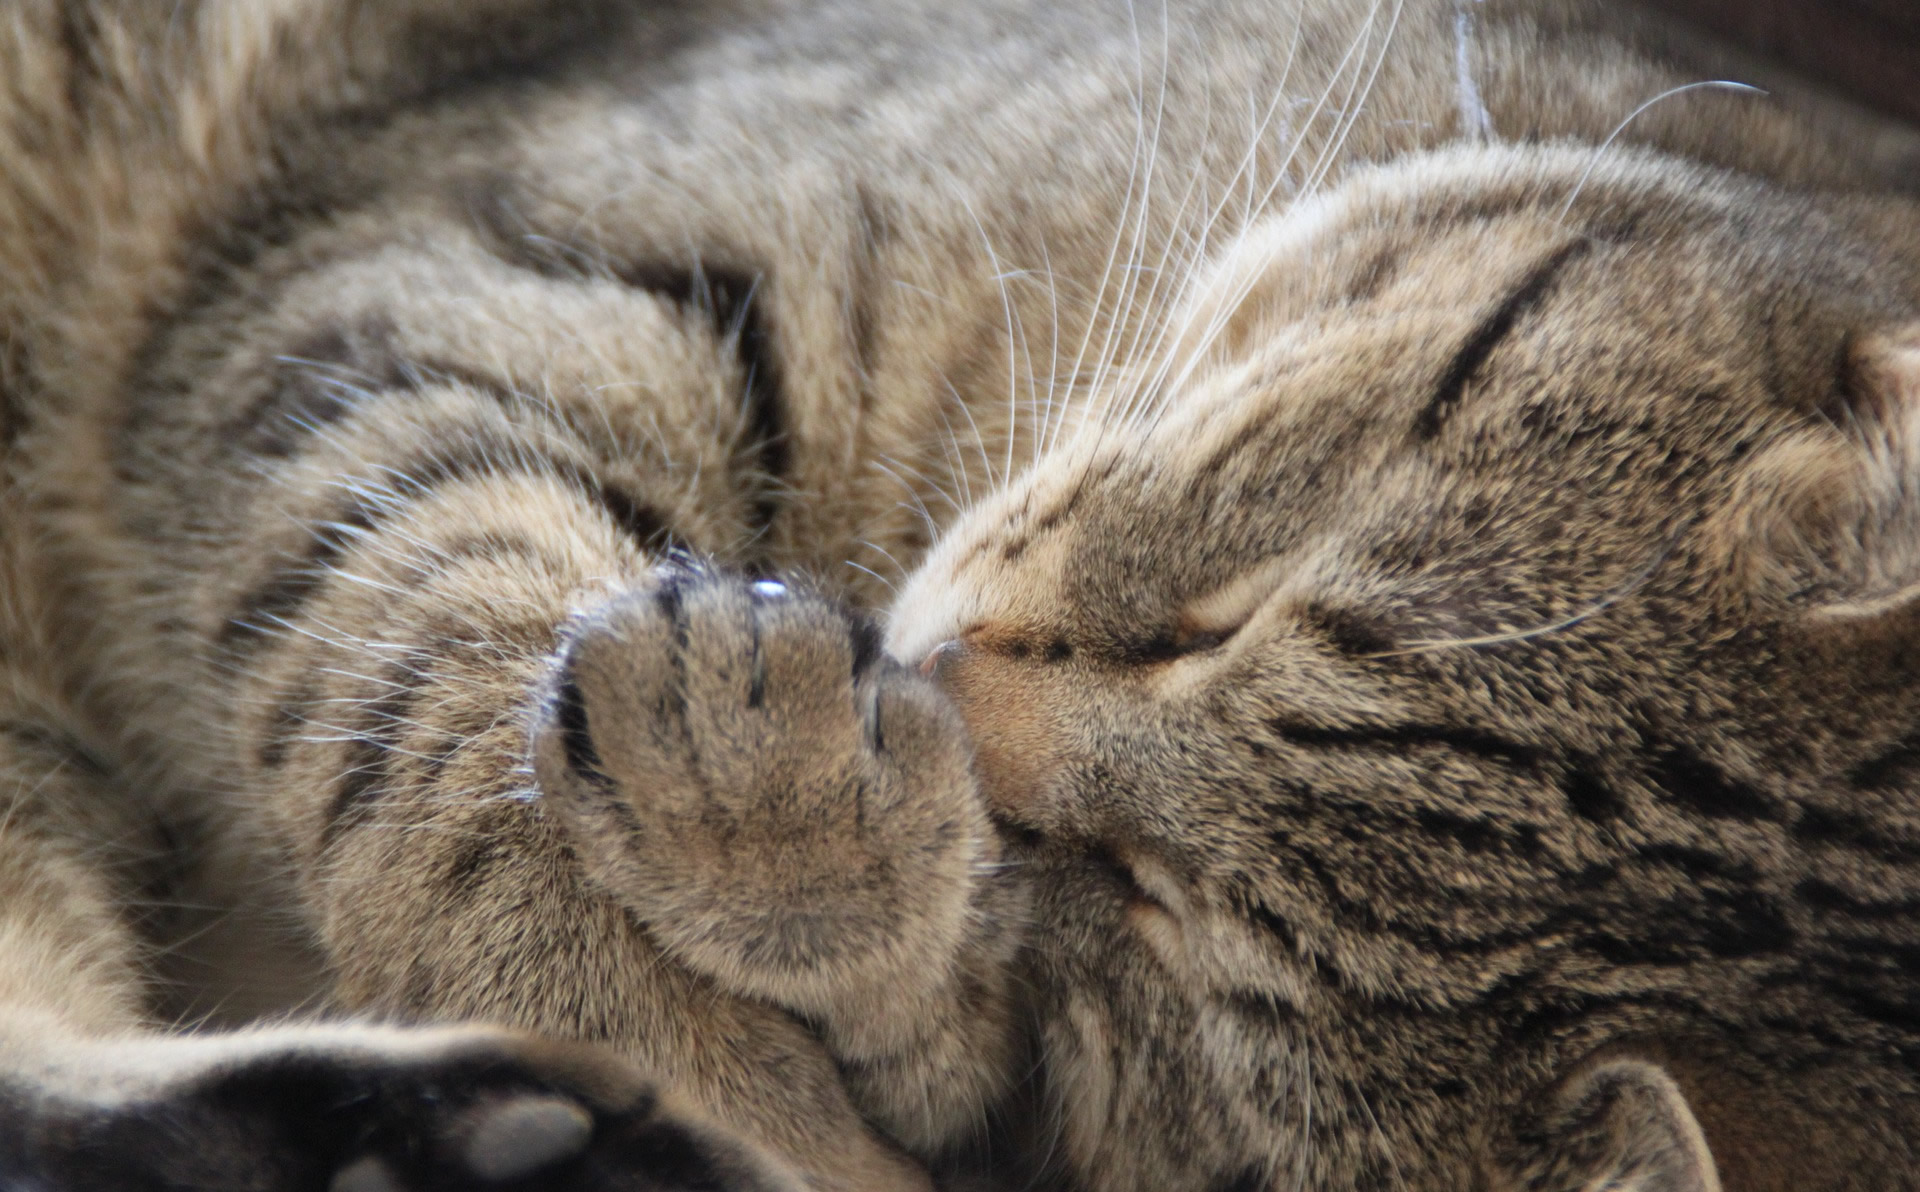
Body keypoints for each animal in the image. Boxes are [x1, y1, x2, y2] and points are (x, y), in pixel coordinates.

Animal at [3, 0, 1920, 1182]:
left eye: (1164, 919)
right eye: (1227, 614)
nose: (942, 689)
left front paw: (796, 865)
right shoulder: (443, 262)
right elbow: (441, 665)